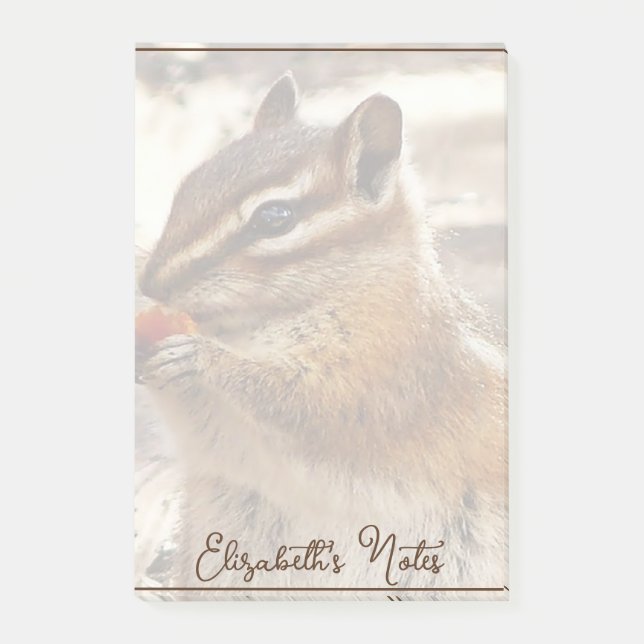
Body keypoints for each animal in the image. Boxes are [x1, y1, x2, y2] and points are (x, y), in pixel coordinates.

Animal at [137, 73, 507, 598]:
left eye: (274, 217)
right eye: (188, 184)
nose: (150, 284)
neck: (253, 326)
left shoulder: (380, 371)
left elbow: (306, 401)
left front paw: (202, 357)